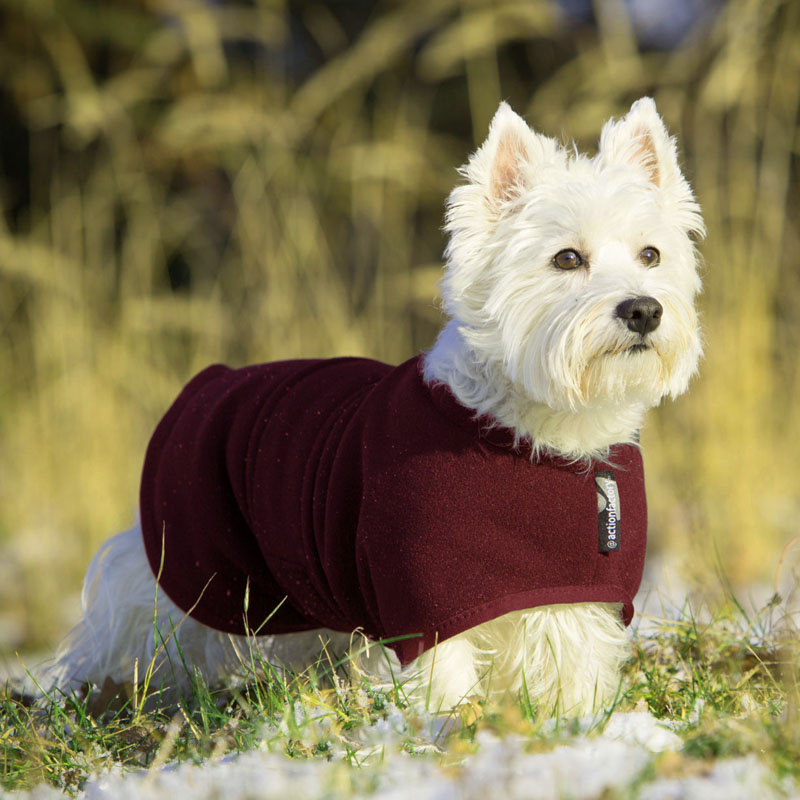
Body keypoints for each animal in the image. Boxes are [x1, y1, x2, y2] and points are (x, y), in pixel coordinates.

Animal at [51, 97, 700, 716]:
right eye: (567, 258)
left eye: (650, 255)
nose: (644, 310)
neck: (543, 435)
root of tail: (209, 381)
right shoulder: (426, 603)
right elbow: (446, 684)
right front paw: (447, 729)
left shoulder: (575, 597)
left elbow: (572, 672)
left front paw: (578, 724)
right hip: (188, 564)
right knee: (130, 635)